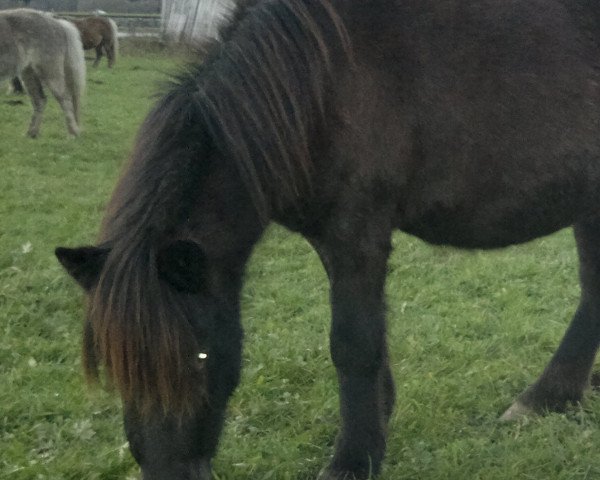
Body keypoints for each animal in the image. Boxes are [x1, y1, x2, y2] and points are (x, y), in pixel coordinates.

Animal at [0, 9, 85, 138]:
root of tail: (58, 24)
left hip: (50, 73)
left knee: (65, 100)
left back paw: (72, 134)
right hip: (29, 73)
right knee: (40, 101)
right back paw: (31, 133)